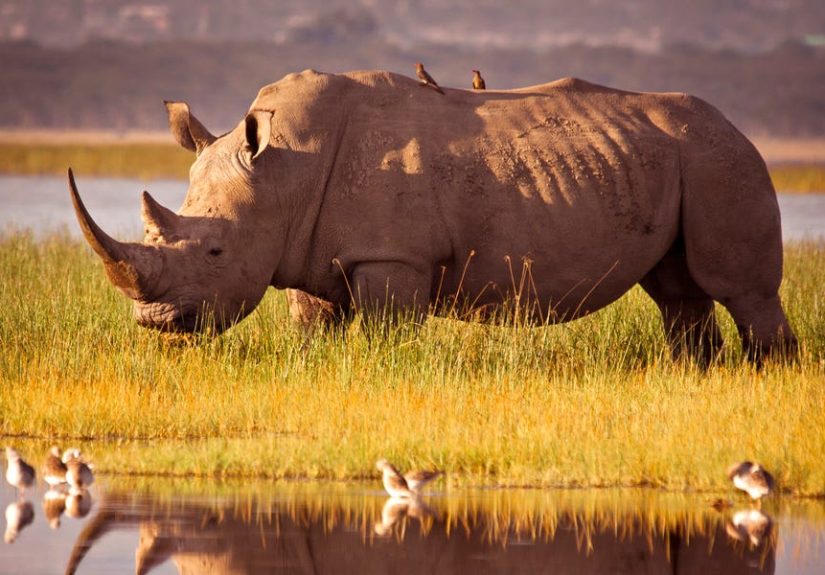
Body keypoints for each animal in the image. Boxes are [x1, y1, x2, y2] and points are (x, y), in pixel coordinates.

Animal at [69, 69, 797, 363]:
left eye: (215, 253)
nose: (156, 323)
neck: (282, 174)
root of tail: (738, 128)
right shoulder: (307, 251)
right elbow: (313, 328)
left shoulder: (393, 256)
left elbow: (388, 333)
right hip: (681, 159)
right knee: (678, 292)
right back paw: (694, 373)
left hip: (721, 159)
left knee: (742, 289)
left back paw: (767, 373)